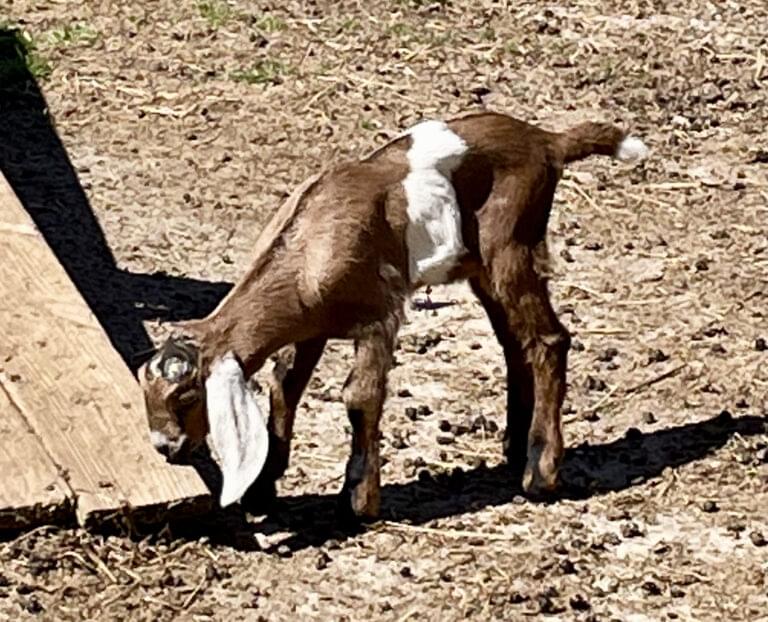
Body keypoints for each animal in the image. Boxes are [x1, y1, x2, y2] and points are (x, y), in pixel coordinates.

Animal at [138, 111, 648, 522]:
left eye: (188, 397)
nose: (165, 448)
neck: (309, 251)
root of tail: (548, 140)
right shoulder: (309, 327)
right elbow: (286, 386)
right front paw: (263, 488)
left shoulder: (379, 315)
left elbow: (360, 396)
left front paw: (359, 500)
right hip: (482, 267)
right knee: (513, 343)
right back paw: (514, 449)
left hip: (511, 244)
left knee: (548, 340)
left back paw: (540, 471)